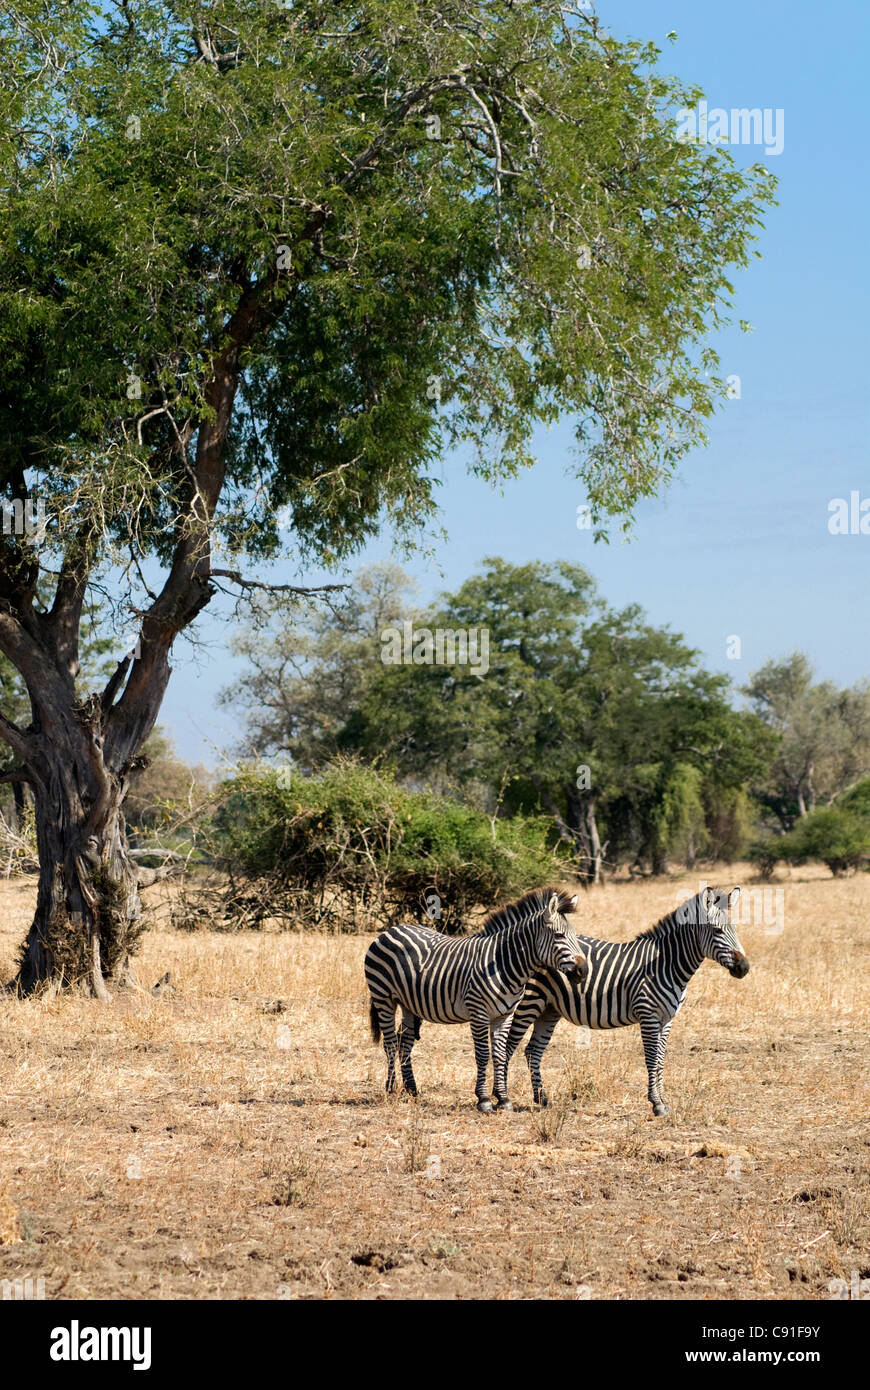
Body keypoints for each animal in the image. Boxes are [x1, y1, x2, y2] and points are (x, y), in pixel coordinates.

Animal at [361, 895, 586, 1112]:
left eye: (575, 936)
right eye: (559, 936)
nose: (583, 971)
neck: (503, 964)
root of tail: (391, 930)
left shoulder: (504, 1015)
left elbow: (500, 1055)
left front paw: (503, 1099)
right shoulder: (478, 1012)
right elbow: (483, 1055)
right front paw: (484, 1099)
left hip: (409, 1004)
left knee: (405, 1042)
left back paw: (412, 1090)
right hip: (383, 998)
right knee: (390, 1043)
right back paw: (390, 1089)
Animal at [505, 889, 750, 1117]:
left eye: (735, 930)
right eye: (717, 931)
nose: (744, 968)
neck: (667, 964)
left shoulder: (667, 1019)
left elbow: (660, 1060)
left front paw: (663, 1100)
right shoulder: (648, 1015)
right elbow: (651, 1059)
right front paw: (656, 1104)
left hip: (549, 1008)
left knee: (533, 1050)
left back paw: (541, 1098)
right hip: (529, 1001)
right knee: (508, 1046)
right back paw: (503, 1099)